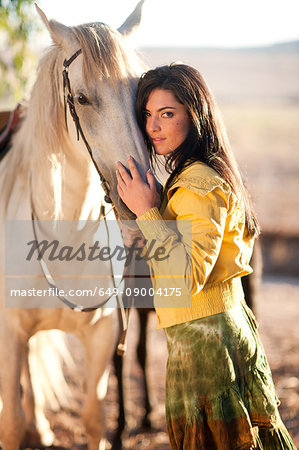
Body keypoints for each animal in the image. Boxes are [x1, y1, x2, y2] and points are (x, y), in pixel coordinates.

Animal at [0, 1, 150, 448]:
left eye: (140, 94)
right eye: (81, 98)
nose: (140, 197)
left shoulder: (101, 338)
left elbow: (94, 418)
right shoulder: (9, 333)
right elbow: (10, 423)